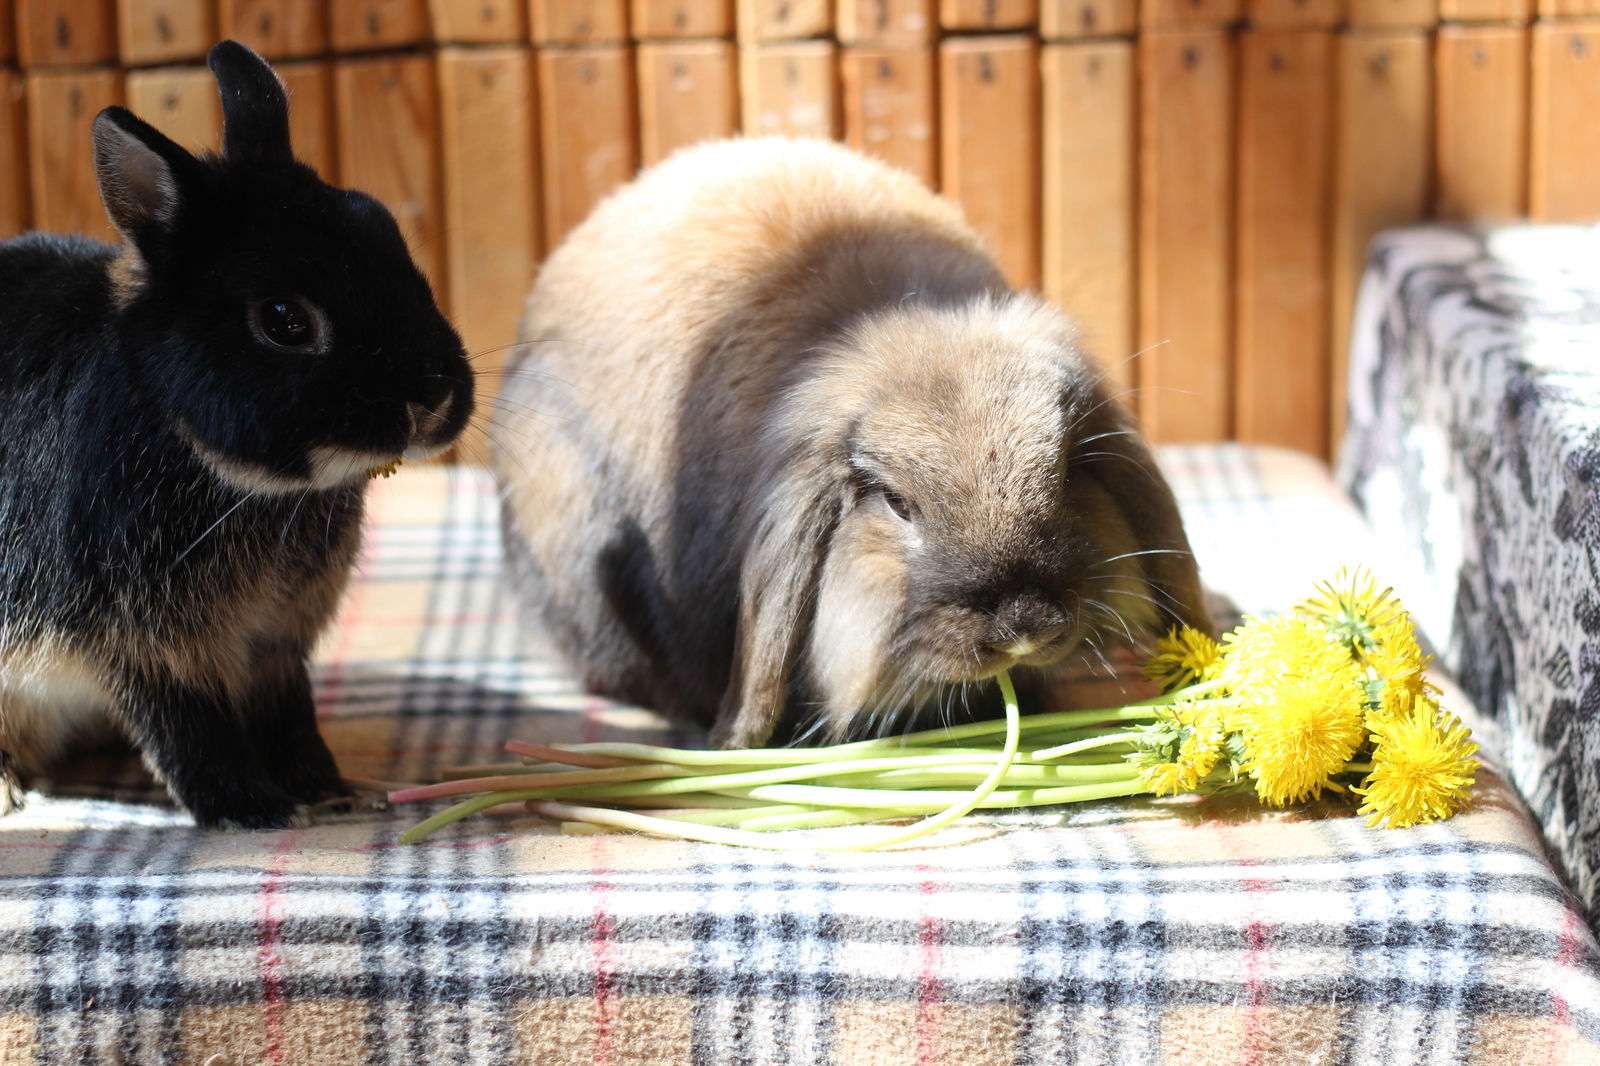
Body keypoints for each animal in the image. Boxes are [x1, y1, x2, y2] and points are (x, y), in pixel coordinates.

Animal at [0, 39, 470, 819]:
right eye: (284, 321)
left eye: (384, 230)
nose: (430, 401)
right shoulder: (145, 648)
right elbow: (189, 730)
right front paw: (251, 809)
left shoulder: (275, 648)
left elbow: (289, 716)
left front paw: (328, 791)